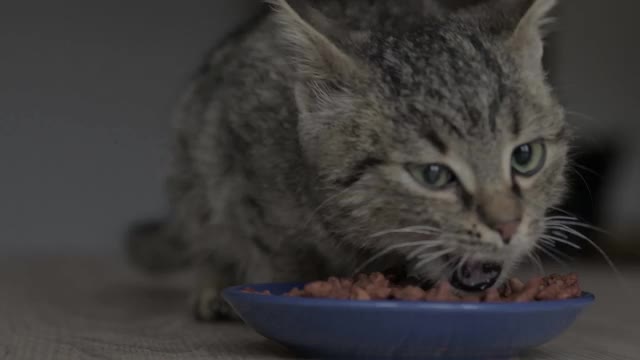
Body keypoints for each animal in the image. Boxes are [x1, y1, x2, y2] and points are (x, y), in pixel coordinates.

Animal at [127, 0, 568, 320]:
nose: (508, 225)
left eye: (525, 156)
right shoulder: (240, 166)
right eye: (432, 174)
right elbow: (277, 256)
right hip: (190, 161)